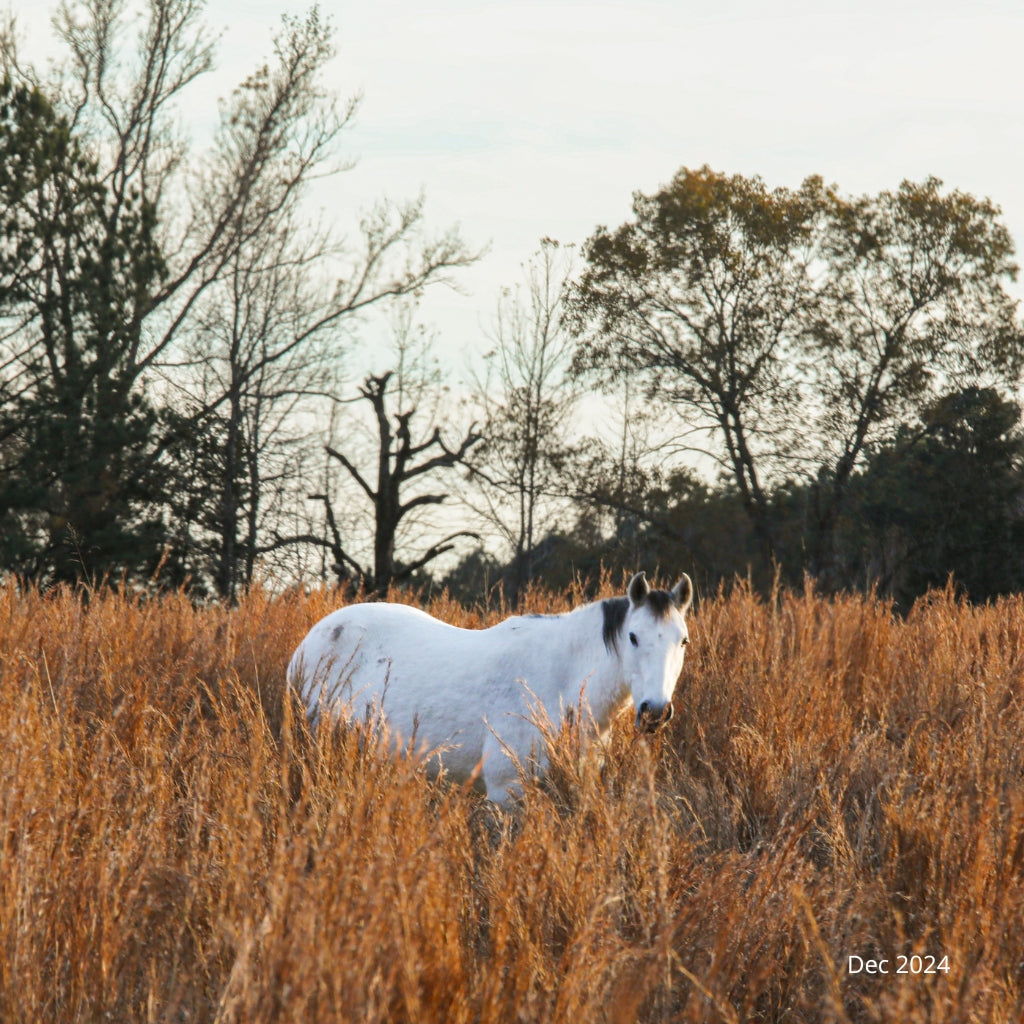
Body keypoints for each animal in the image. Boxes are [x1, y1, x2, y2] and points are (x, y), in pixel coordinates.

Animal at [288, 573, 696, 802]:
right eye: (633, 637)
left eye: (683, 641)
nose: (655, 711)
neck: (560, 681)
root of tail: (309, 641)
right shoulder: (506, 792)